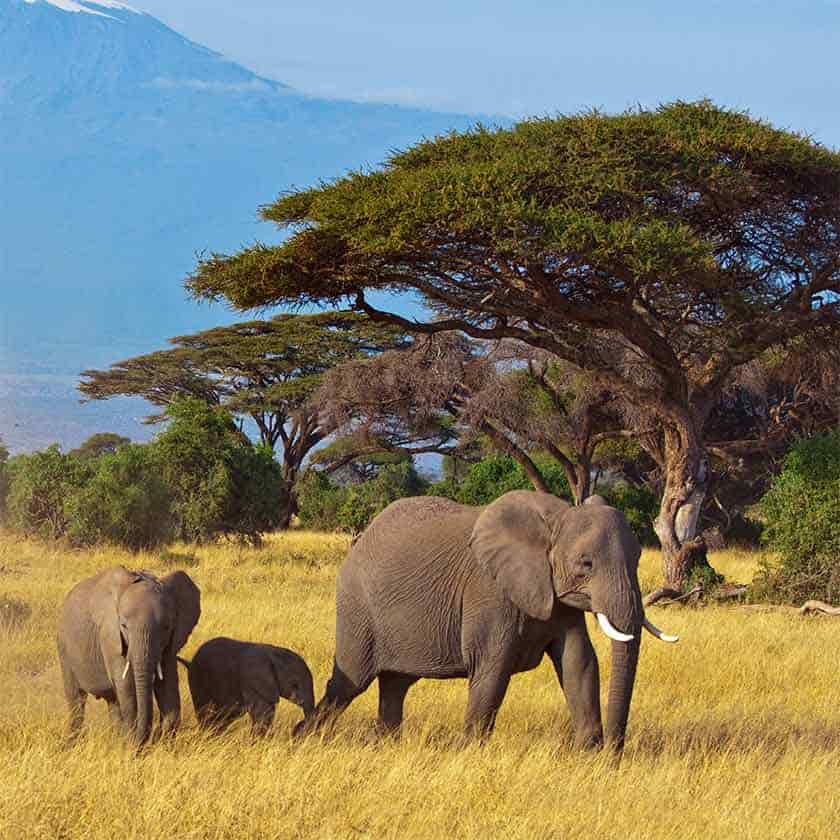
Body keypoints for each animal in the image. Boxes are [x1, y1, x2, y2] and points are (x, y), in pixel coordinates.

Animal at [56, 566, 201, 746]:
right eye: (124, 626)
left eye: (166, 627)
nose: (151, 738)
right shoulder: (110, 637)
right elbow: (126, 686)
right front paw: (132, 745)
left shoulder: (170, 643)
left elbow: (168, 685)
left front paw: (162, 744)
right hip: (64, 647)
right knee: (76, 699)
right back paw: (73, 743)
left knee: (113, 702)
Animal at [177, 637, 315, 735]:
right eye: (295, 684)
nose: (299, 725)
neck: (273, 654)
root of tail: (190, 663)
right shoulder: (252, 682)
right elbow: (262, 714)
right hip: (198, 680)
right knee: (205, 710)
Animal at [298, 491, 677, 752]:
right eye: (586, 564)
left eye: (638, 558)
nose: (615, 750)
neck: (556, 519)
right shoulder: (489, 591)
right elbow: (492, 667)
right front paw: (469, 753)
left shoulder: (556, 597)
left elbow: (578, 662)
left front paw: (589, 756)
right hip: (357, 608)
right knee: (349, 683)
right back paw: (303, 737)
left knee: (395, 685)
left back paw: (386, 745)